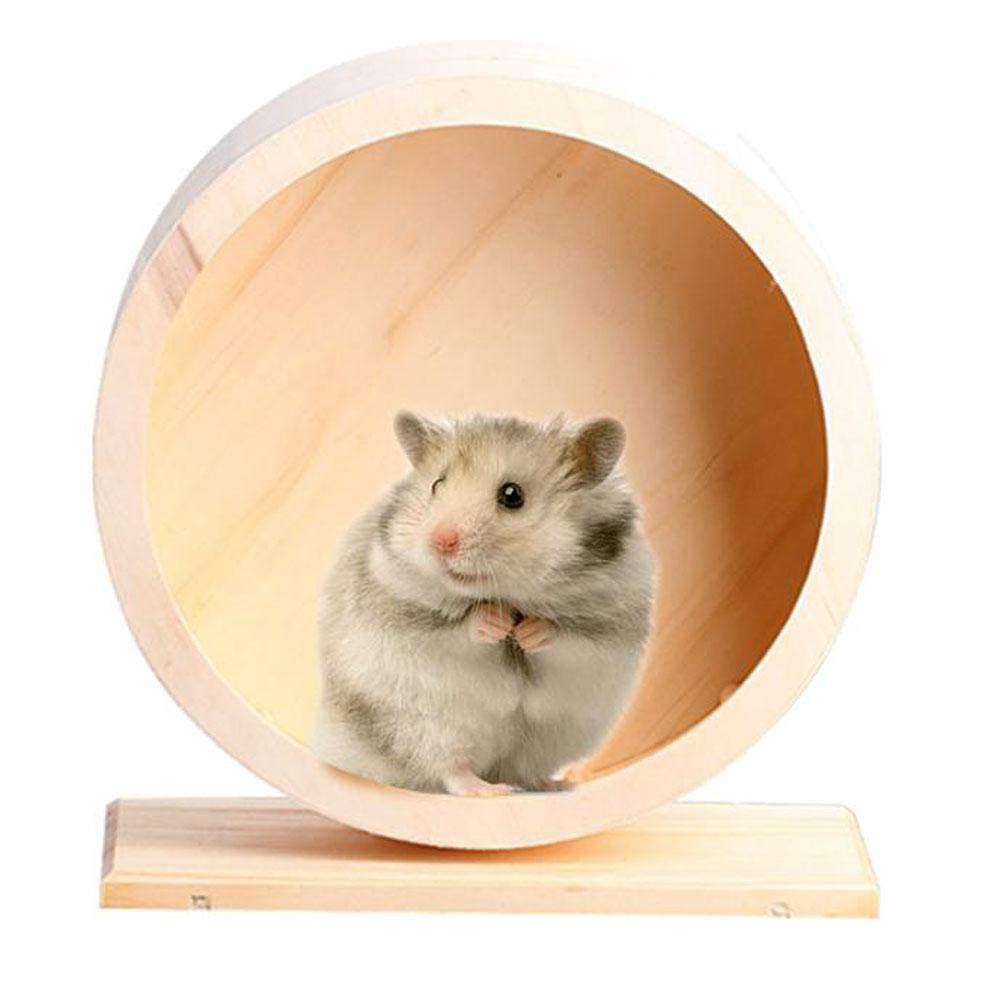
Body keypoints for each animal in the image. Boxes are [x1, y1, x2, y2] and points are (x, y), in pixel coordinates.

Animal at [312, 411, 655, 795]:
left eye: (512, 495)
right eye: (437, 485)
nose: (439, 541)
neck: (510, 594)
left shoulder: (609, 624)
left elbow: (566, 637)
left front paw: (529, 632)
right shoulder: (404, 609)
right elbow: (459, 629)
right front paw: (495, 622)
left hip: (550, 736)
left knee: (521, 769)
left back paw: (553, 784)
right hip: (424, 724)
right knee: (451, 769)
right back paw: (490, 790)